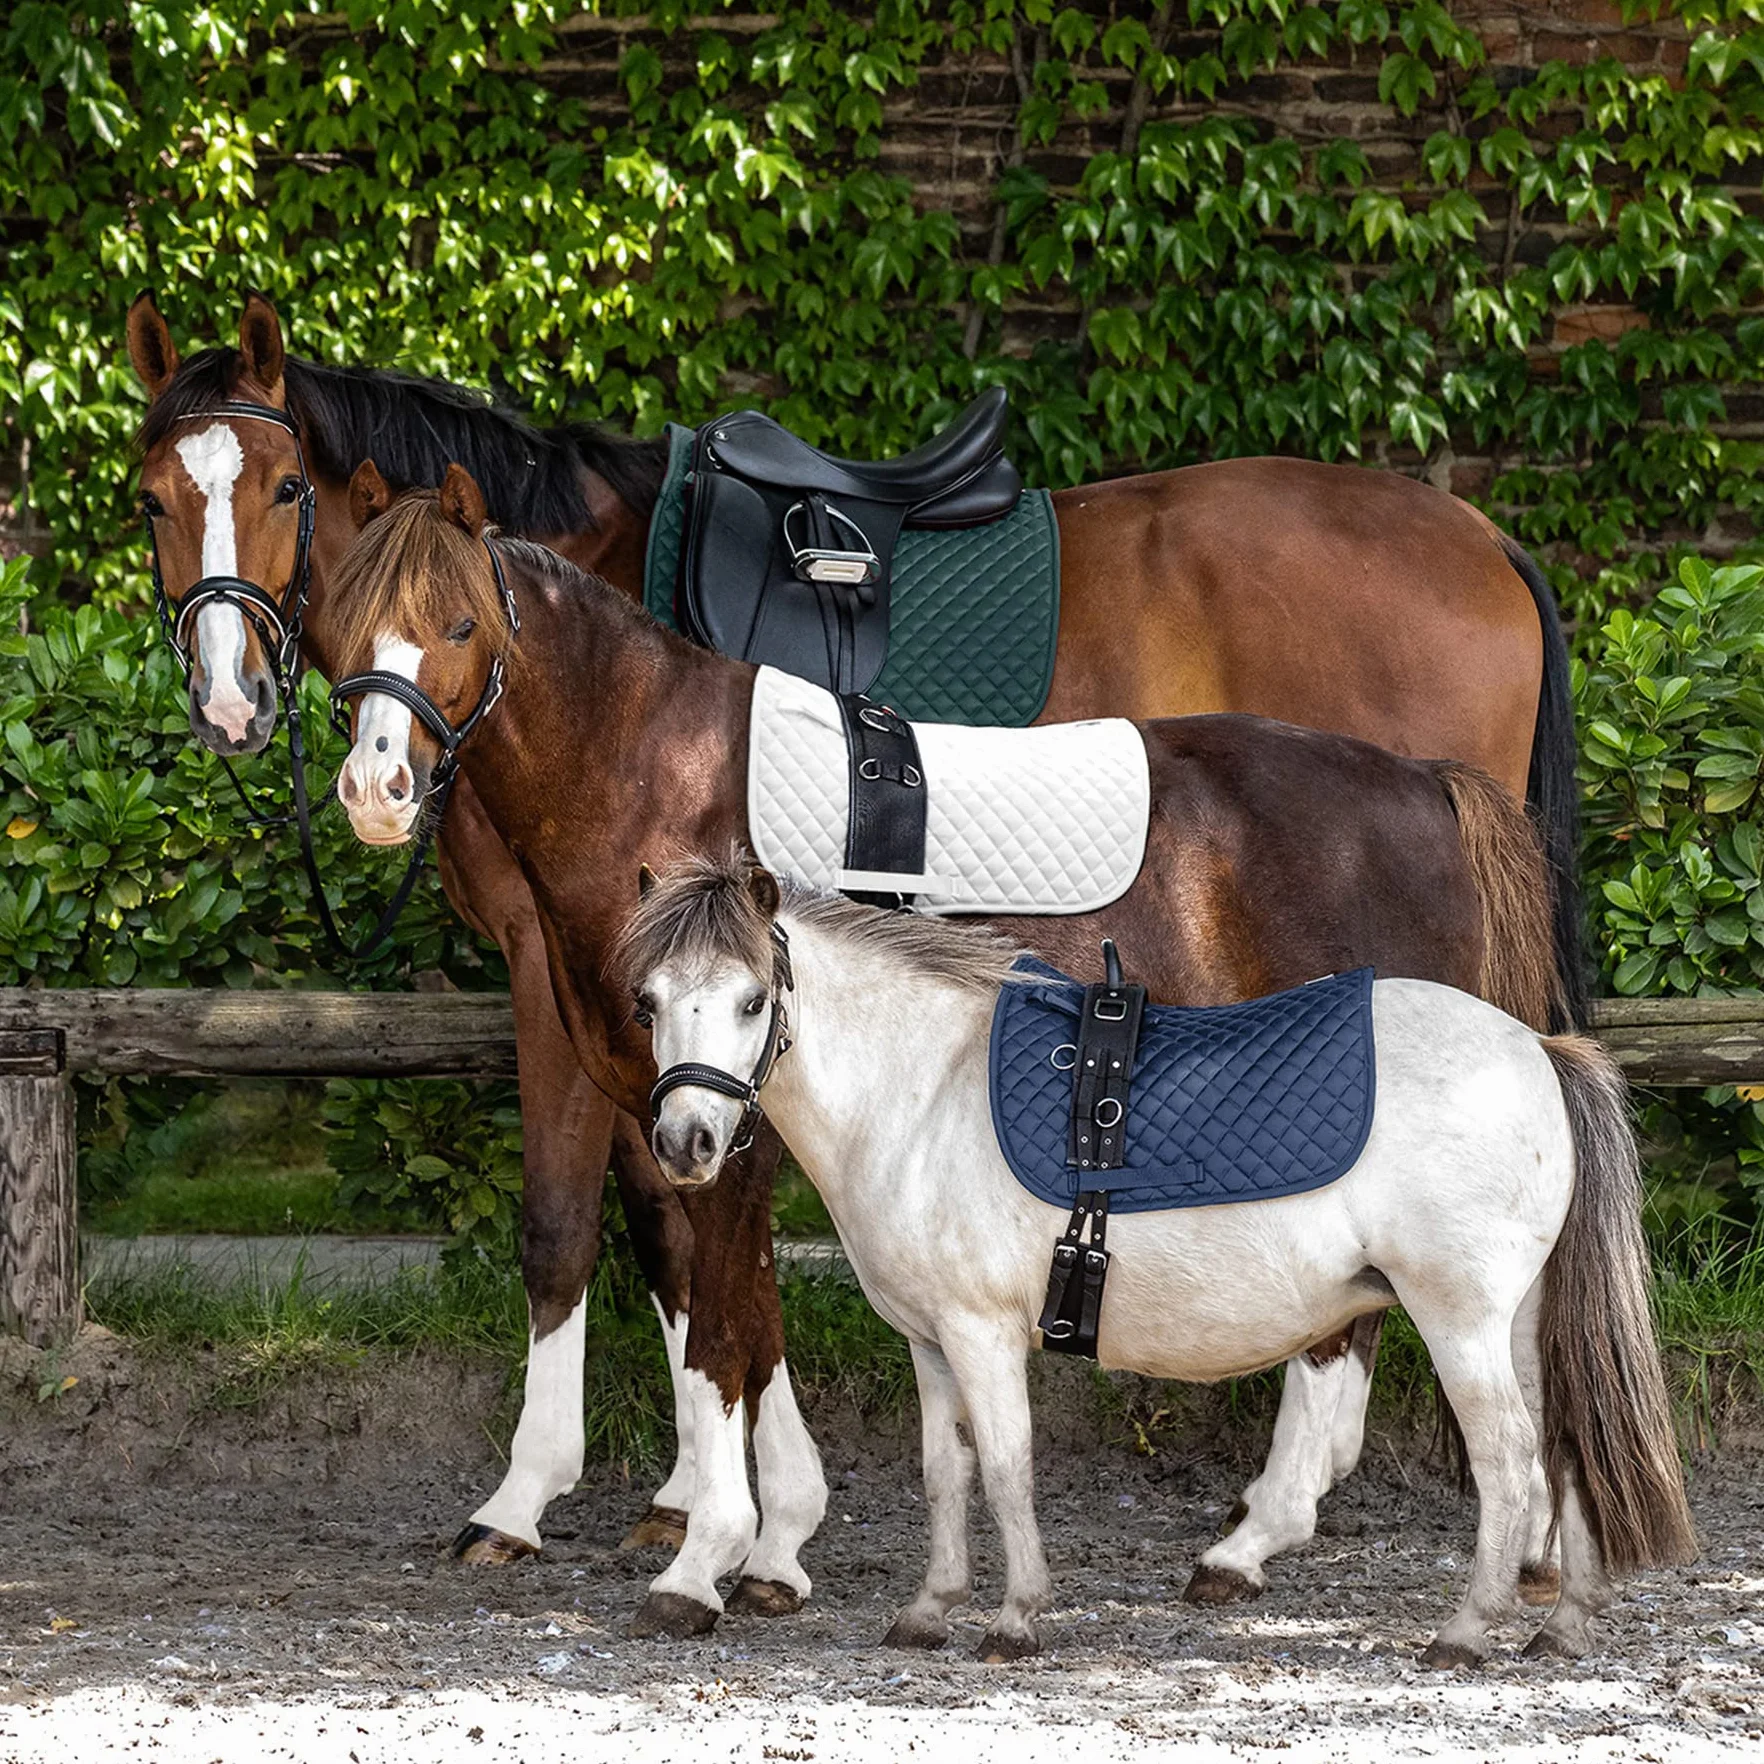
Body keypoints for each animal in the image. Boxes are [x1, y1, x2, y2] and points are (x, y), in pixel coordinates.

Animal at [125, 289, 1581, 1617]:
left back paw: (1296, 1520)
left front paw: (704, 1524)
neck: (646, 746)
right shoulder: (611, 1024)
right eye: (150, 500)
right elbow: (647, 1244)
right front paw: (700, 1517)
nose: (238, 707)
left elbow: (693, 1262)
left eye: (285, 485)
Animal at [617, 855, 1695, 1666]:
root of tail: (1540, 1051)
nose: (686, 1143)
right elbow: (945, 1473)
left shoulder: (981, 1334)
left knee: (1510, 1461)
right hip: (1520, 1324)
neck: (926, 1088)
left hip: (1462, 1322)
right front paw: (930, 1612)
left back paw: (1466, 1632)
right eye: (648, 1002)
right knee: (1566, 1445)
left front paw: (1016, 1619)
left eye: (752, 1000)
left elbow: (1005, 1465)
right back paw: (1564, 1627)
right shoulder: (929, 1344)